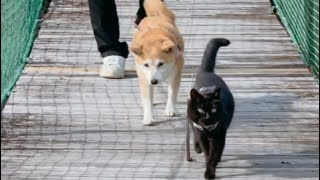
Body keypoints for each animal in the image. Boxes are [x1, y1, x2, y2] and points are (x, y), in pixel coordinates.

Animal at [188, 37, 235, 179]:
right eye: (201, 110)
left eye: (213, 110)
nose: (207, 118)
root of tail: (206, 72)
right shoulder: (201, 133)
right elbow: (207, 152)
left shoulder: (218, 135)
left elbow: (213, 154)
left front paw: (210, 172)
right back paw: (197, 148)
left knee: (220, 148)